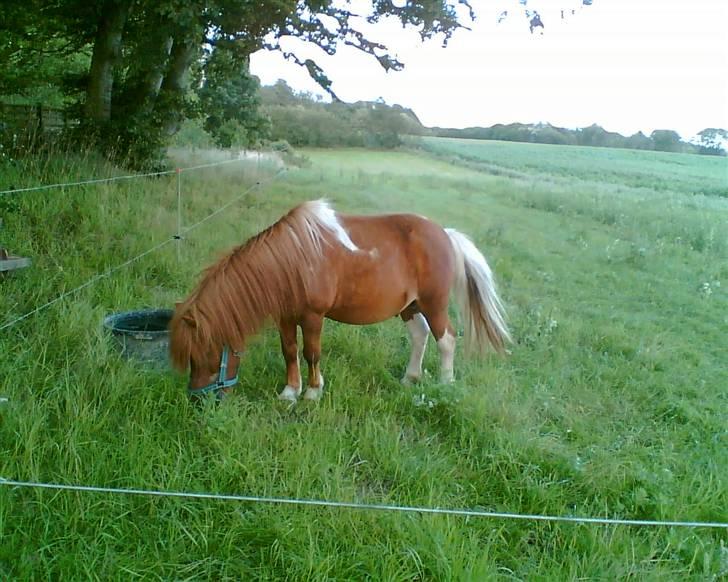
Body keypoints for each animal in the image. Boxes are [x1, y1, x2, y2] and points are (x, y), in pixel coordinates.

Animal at [171, 201, 512, 402]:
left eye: (202, 354)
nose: (196, 397)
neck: (294, 258)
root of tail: (446, 234)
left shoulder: (313, 316)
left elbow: (311, 353)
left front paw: (312, 392)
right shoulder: (285, 315)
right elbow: (289, 351)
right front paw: (290, 392)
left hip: (434, 304)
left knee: (446, 340)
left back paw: (444, 385)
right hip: (409, 307)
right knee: (420, 336)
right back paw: (409, 379)